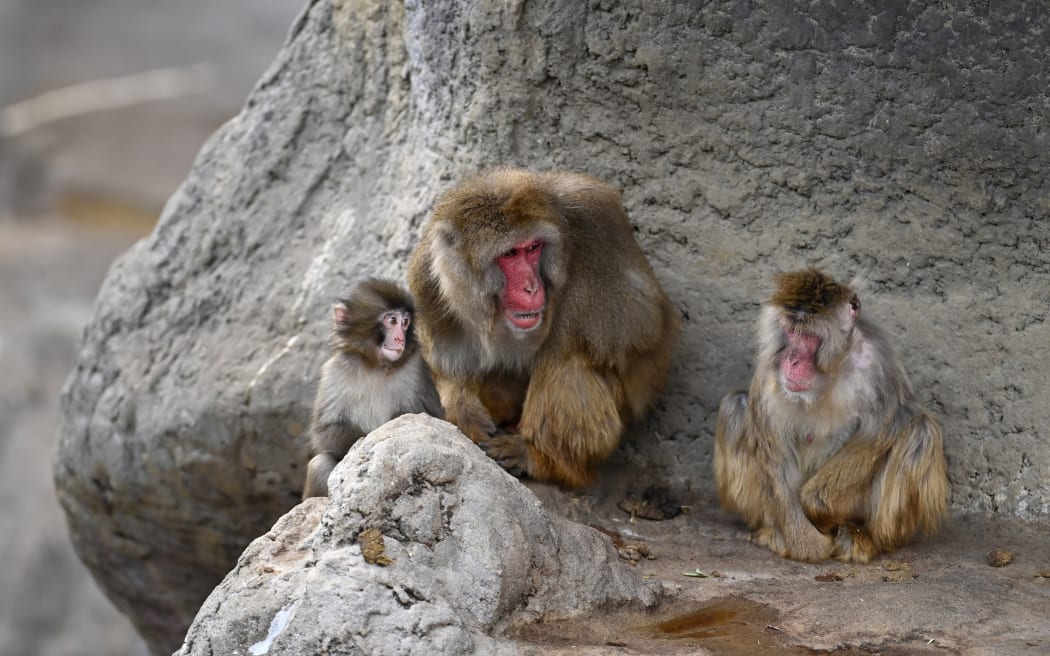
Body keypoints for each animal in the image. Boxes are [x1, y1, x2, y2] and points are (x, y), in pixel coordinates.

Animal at [302, 278, 443, 499]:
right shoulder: (333, 371)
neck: (376, 366)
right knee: (319, 464)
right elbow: (325, 430)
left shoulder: (415, 369)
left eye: (405, 322)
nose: (400, 339)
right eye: (392, 320)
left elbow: (433, 420)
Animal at [407, 168, 680, 488]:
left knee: (564, 359)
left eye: (533, 248)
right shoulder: (428, 277)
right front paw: (462, 407)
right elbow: (444, 363)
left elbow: (641, 322)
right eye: (510, 254)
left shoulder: (598, 221)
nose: (531, 287)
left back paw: (540, 458)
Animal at [714, 268, 949, 563]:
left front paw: (816, 508)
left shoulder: (876, 361)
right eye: (790, 331)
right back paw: (772, 532)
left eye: (808, 336)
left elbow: (886, 426)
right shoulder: (769, 372)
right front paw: (808, 545)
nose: (791, 360)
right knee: (736, 406)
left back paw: (864, 537)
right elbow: (775, 455)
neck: (829, 370)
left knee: (920, 431)